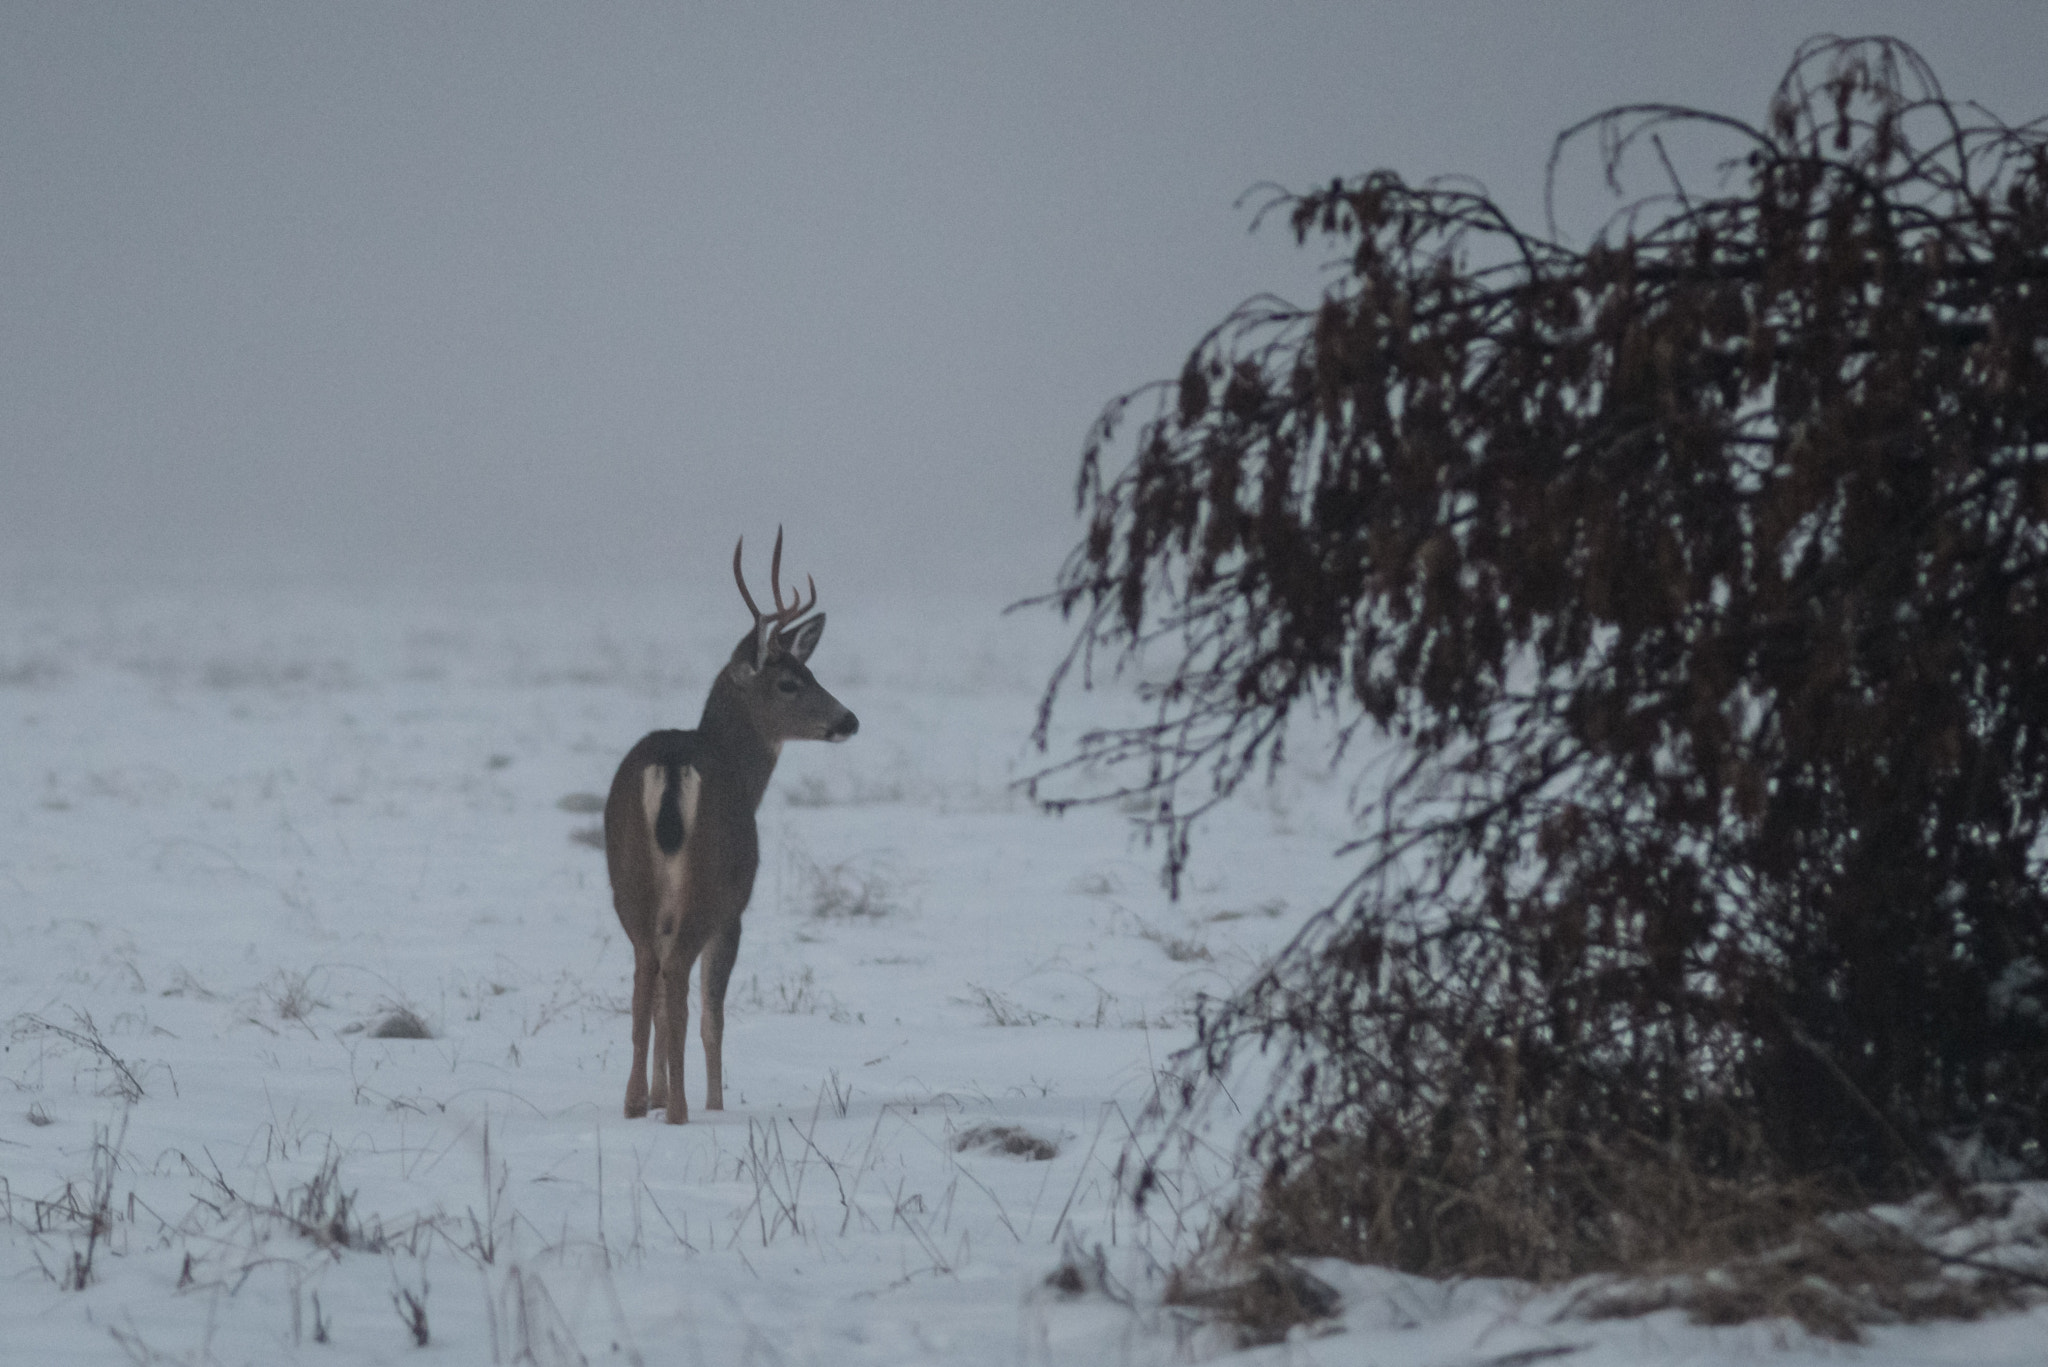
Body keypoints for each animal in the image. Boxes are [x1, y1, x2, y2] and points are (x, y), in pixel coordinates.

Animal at [606, 528, 864, 1123]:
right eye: (790, 682)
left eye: (812, 672)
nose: (849, 720)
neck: (743, 776)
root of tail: (673, 763)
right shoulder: (736, 907)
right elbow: (712, 1017)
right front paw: (713, 1104)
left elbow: (658, 1003)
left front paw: (655, 1096)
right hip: (710, 881)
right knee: (678, 977)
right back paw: (681, 1112)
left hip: (628, 881)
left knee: (644, 975)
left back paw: (634, 1104)